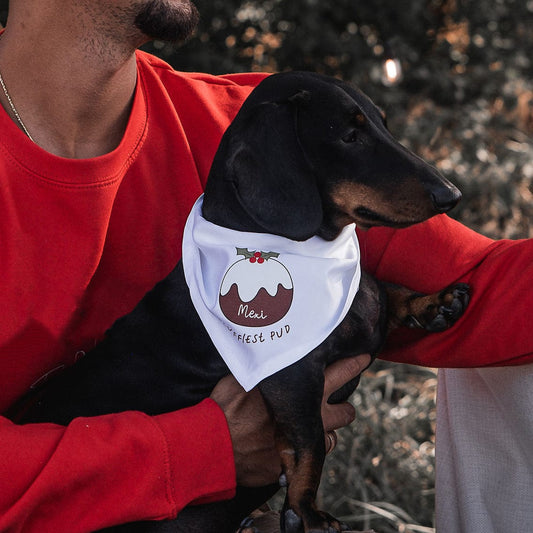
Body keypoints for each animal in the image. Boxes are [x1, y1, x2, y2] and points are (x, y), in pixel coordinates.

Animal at [20, 72, 468, 532]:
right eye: (349, 135)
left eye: (383, 124)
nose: (451, 195)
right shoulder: (291, 375)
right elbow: (310, 443)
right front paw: (306, 511)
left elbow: (387, 291)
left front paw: (435, 303)